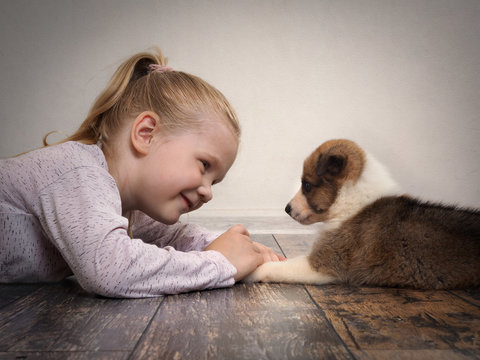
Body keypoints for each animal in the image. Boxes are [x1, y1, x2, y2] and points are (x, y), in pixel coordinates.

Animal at [248, 139, 480, 288]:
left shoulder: (325, 263)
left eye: (306, 185)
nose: (286, 209)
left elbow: (280, 266)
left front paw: (253, 271)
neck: (350, 198)